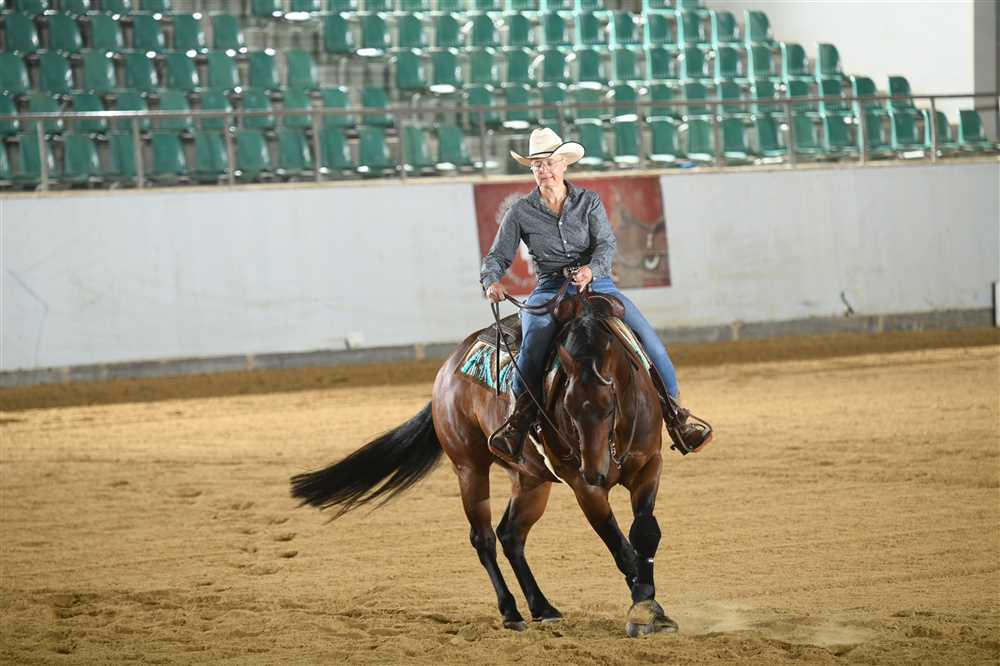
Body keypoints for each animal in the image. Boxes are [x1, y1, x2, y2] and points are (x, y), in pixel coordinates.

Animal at [290, 292, 678, 637]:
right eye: (567, 409)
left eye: (610, 405)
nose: (596, 471)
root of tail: (447, 370)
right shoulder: (584, 489)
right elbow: (620, 548)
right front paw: (642, 607)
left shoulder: (649, 465)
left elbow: (644, 533)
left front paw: (652, 608)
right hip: (470, 469)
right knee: (485, 538)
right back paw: (511, 612)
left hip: (530, 480)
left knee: (511, 535)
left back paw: (542, 607)